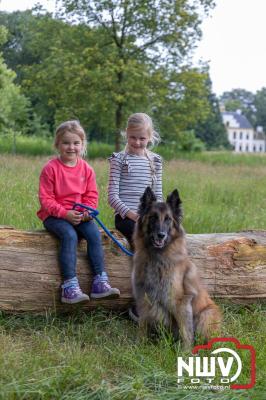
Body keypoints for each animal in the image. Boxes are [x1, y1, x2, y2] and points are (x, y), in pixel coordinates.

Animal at [132, 188, 221, 346]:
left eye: (168, 219)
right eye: (153, 217)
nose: (161, 235)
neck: (157, 258)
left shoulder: (180, 302)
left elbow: (185, 331)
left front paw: (186, 351)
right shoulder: (143, 298)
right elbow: (142, 324)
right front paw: (139, 344)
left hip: (206, 314)